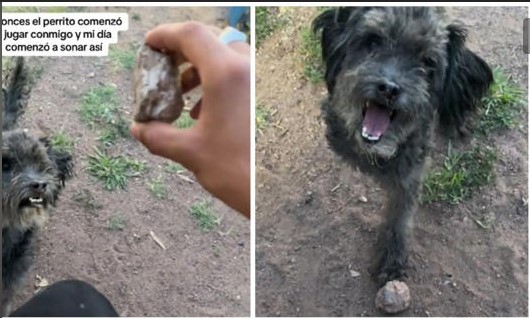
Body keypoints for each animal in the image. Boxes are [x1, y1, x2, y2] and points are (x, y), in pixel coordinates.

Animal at [314, 7, 490, 284]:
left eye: (427, 61)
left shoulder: (411, 171)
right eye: (372, 42)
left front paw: (391, 259)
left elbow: (400, 214)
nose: (389, 88)